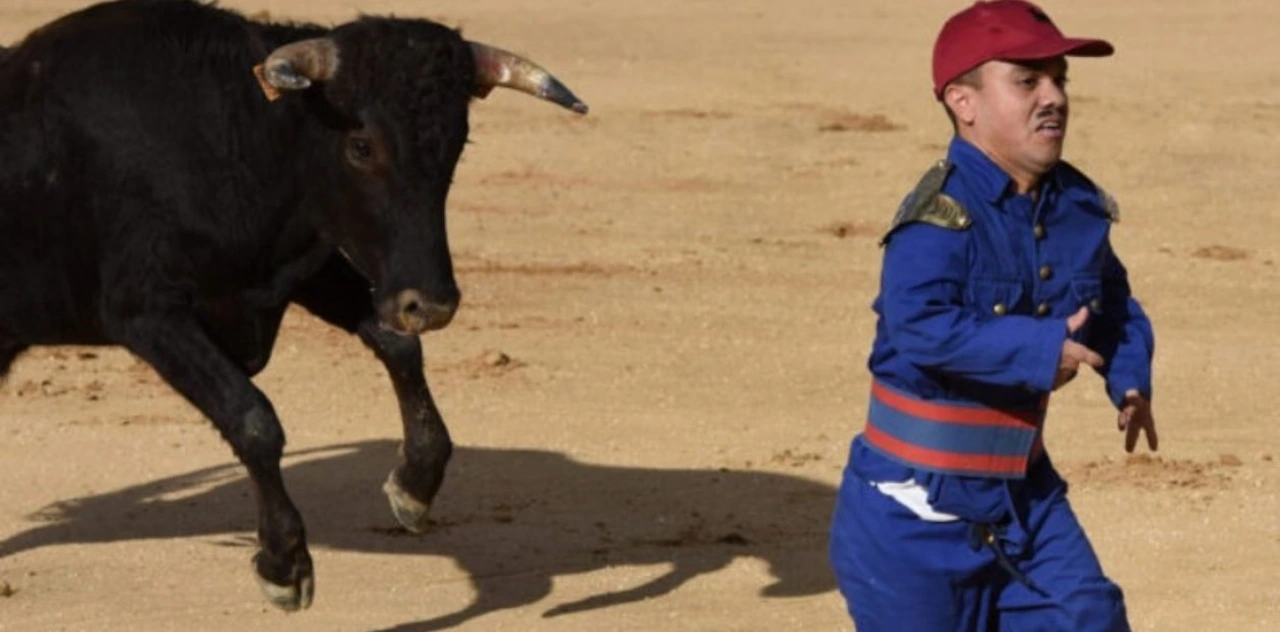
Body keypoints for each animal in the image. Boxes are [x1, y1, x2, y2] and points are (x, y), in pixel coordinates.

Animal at [0, 0, 588, 611]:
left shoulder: (305, 269)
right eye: (361, 145)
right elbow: (252, 416)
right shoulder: (146, 311)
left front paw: (414, 485)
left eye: (457, 145)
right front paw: (284, 565)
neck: (230, 137)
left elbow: (397, 346)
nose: (431, 304)